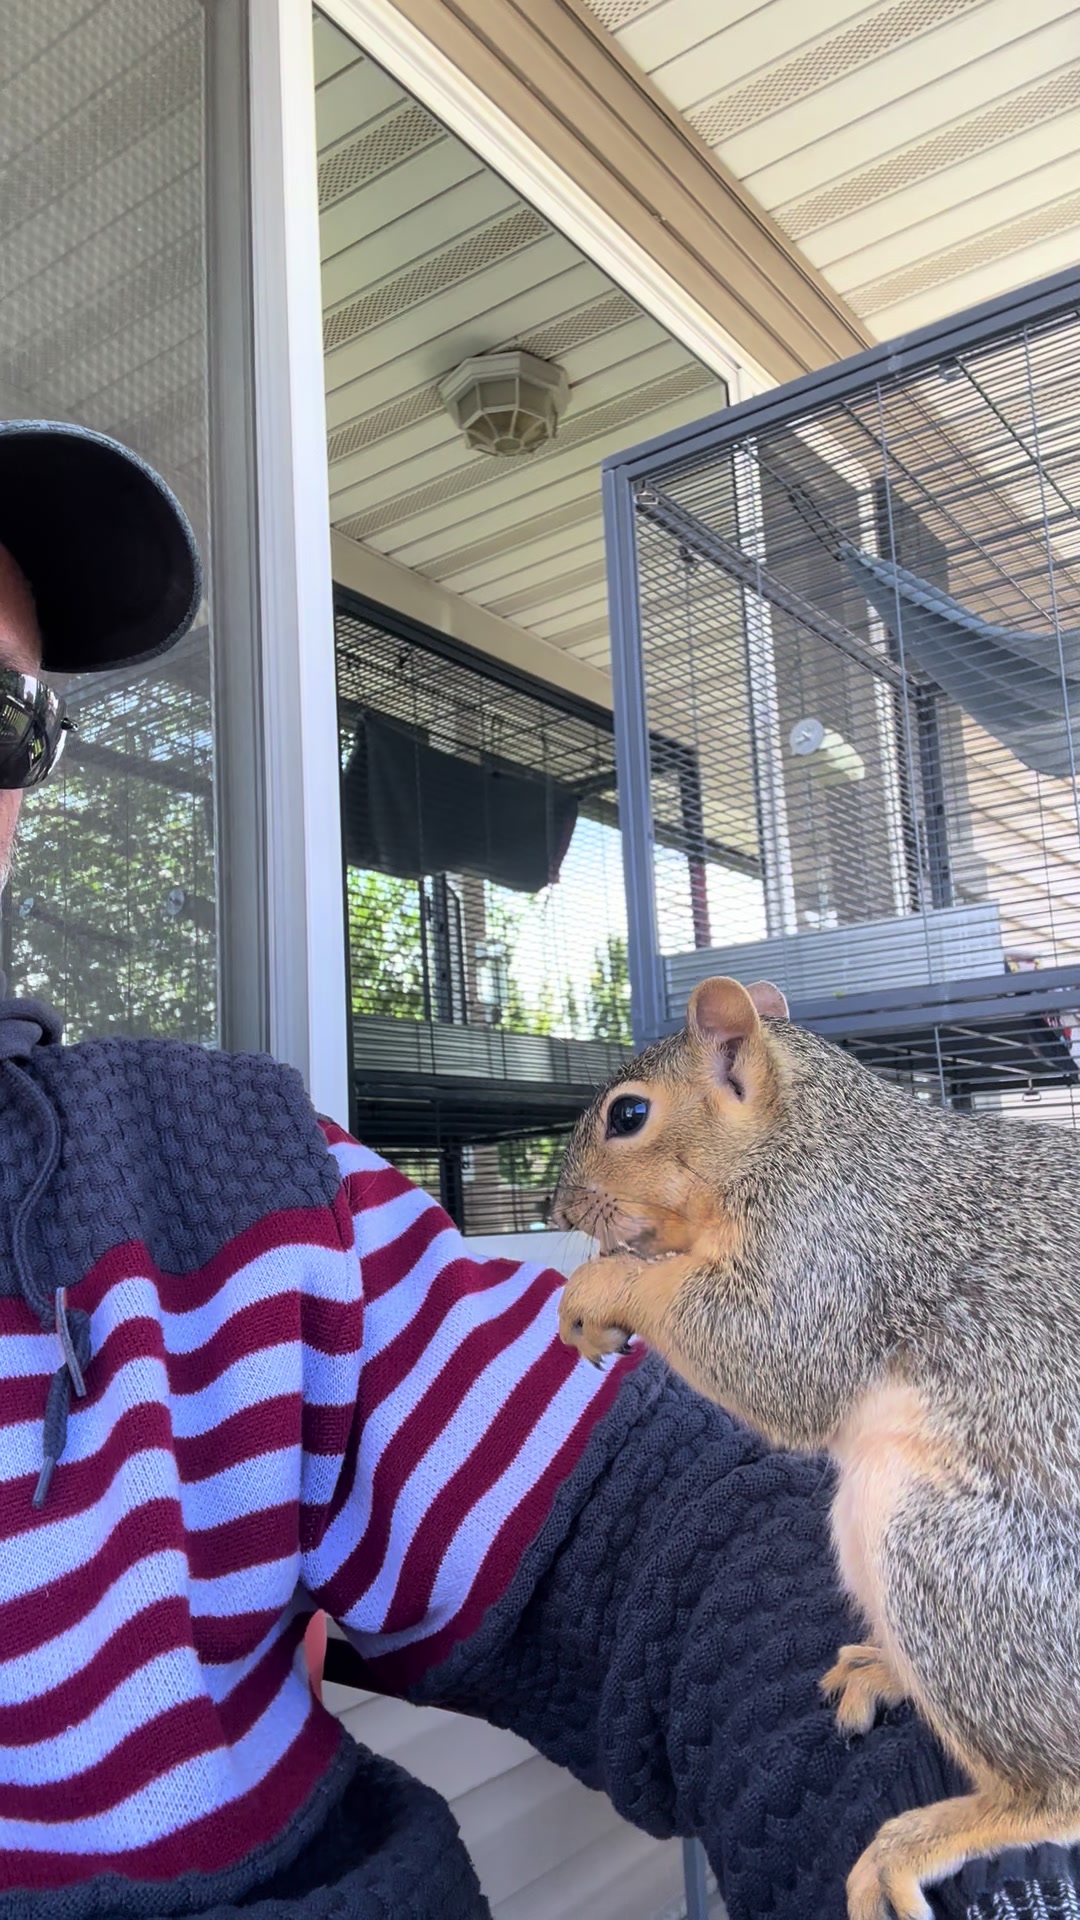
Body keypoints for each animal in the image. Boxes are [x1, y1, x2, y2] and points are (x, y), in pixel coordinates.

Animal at [554, 975, 1080, 1920]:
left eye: (629, 1115)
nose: (557, 1208)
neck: (808, 1143)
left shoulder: (828, 1256)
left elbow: (765, 1351)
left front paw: (601, 1286)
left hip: (957, 1565)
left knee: (1056, 1792)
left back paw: (915, 1845)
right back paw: (886, 1671)